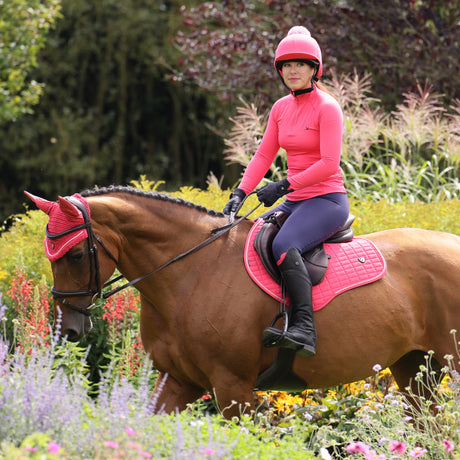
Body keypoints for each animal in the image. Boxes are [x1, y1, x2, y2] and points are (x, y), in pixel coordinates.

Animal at [26, 186, 460, 416]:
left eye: (75, 255)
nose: (70, 327)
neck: (191, 271)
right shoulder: (178, 382)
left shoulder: (233, 388)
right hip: (414, 368)